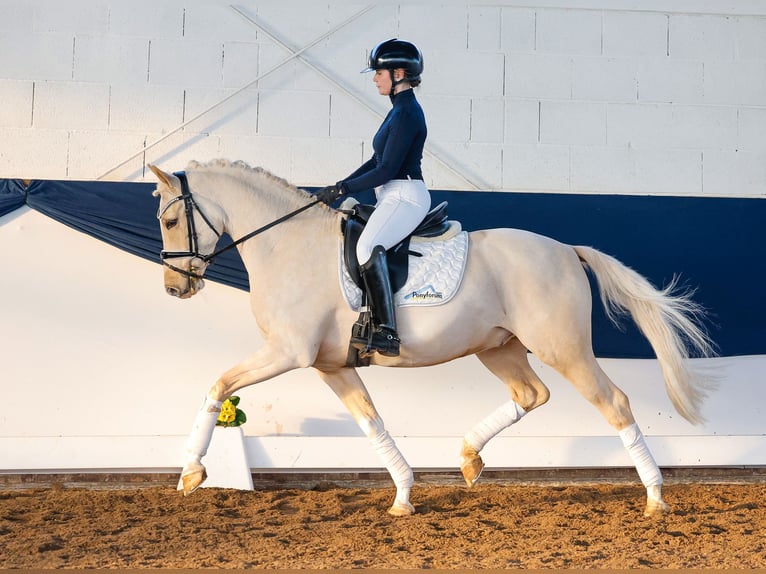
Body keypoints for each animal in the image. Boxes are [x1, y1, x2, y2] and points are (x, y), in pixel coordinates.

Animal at [152, 160, 720, 520]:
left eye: (171, 218)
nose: (175, 288)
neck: (287, 244)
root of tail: (565, 249)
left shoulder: (286, 354)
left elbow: (218, 386)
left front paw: (191, 472)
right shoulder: (331, 365)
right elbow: (370, 421)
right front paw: (404, 496)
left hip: (565, 349)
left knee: (615, 403)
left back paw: (655, 498)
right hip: (499, 347)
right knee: (531, 394)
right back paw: (468, 457)